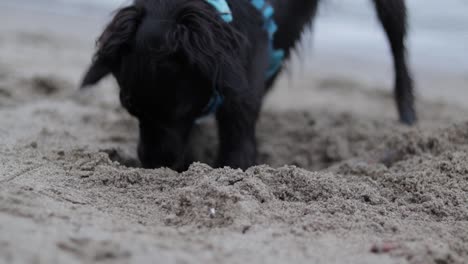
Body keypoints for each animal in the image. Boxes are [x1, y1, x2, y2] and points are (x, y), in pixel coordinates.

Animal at [80, 0, 414, 171]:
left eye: (181, 109)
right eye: (129, 106)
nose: (153, 163)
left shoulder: (239, 100)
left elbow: (237, 152)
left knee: (398, 49)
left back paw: (408, 116)